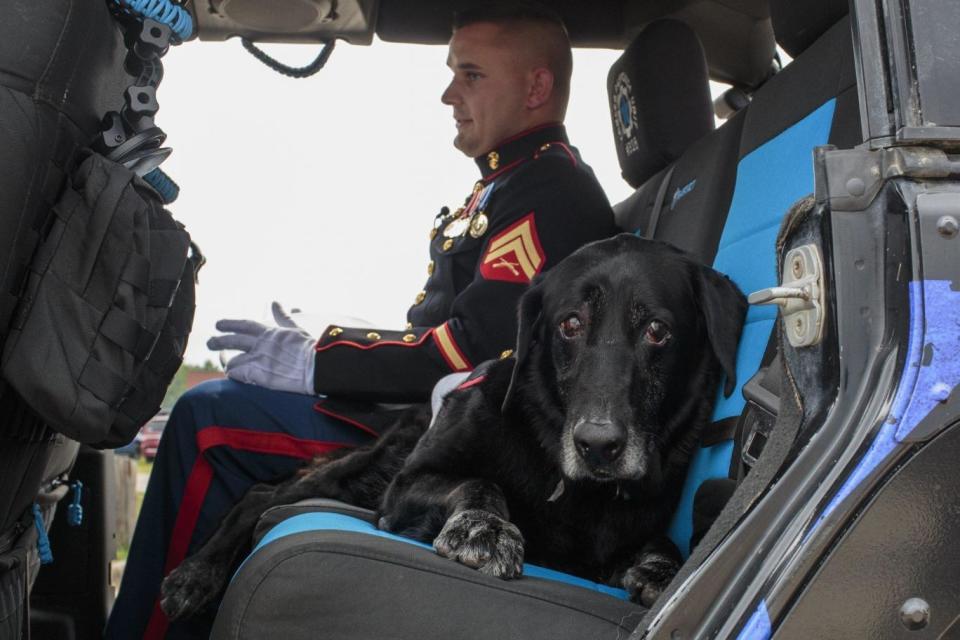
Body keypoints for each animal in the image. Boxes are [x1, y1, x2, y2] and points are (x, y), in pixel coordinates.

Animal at [161, 234, 748, 616]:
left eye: (657, 331)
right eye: (569, 324)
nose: (598, 446)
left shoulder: (610, 546)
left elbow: (664, 542)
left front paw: (662, 570)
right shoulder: (409, 484)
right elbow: (479, 481)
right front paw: (485, 527)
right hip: (368, 474)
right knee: (262, 494)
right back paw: (197, 573)